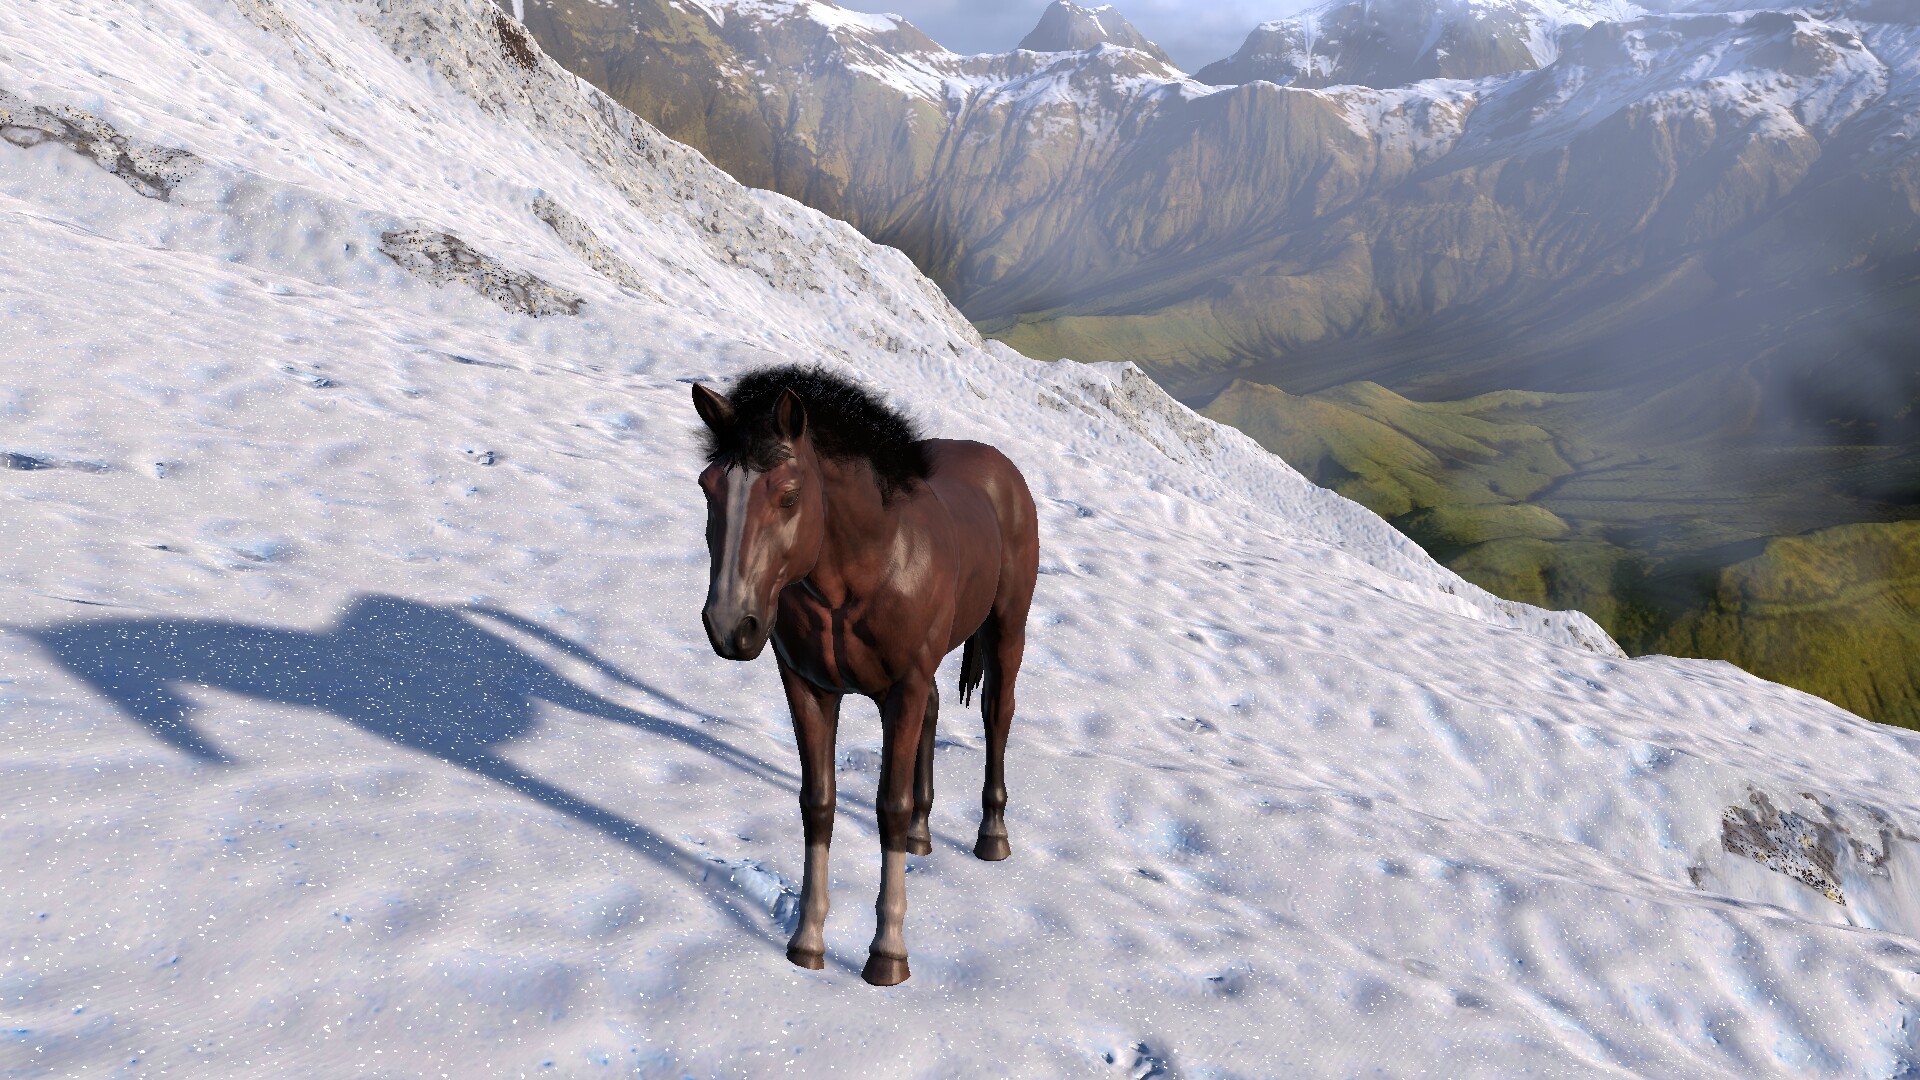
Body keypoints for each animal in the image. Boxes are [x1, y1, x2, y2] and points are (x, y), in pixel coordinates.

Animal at [692, 365, 1038, 986]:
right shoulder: (807, 686)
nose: (731, 625)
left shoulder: (899, 689)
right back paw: (925, 836)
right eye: (709, 487)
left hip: (1006, 630)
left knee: (997, 715)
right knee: (935, 712)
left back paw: (992, 837)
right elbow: (818, 802)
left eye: (789, 494)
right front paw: (806, 943)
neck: (861, 570)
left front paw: (888, 955)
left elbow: (888, 807)